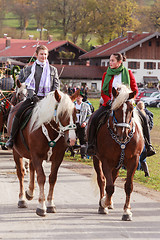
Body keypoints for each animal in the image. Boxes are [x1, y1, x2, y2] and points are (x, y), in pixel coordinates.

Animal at [7, 87, 78, 217]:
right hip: (17, 152)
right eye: (62, 113)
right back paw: (22, 199)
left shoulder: (57, 158)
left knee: (31, 168)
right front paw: (41, 206)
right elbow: (41, 178)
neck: (50, 130)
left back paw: (30, 192)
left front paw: (50, 204)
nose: (72, 140)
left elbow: (52, 178)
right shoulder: (37, 156)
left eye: (76, 112)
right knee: (21, 173)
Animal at [90, 84, 144, 221]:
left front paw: (127, 212)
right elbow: (109, 186)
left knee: (113, 177)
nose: (123, 134)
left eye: (131, 108)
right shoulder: (106, 161)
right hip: (96, 159)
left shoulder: (133, 161)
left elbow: (128, 186)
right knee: (102, 180)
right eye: (115, 108)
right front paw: (104, 203)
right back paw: (103, 203)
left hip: (118, 163)